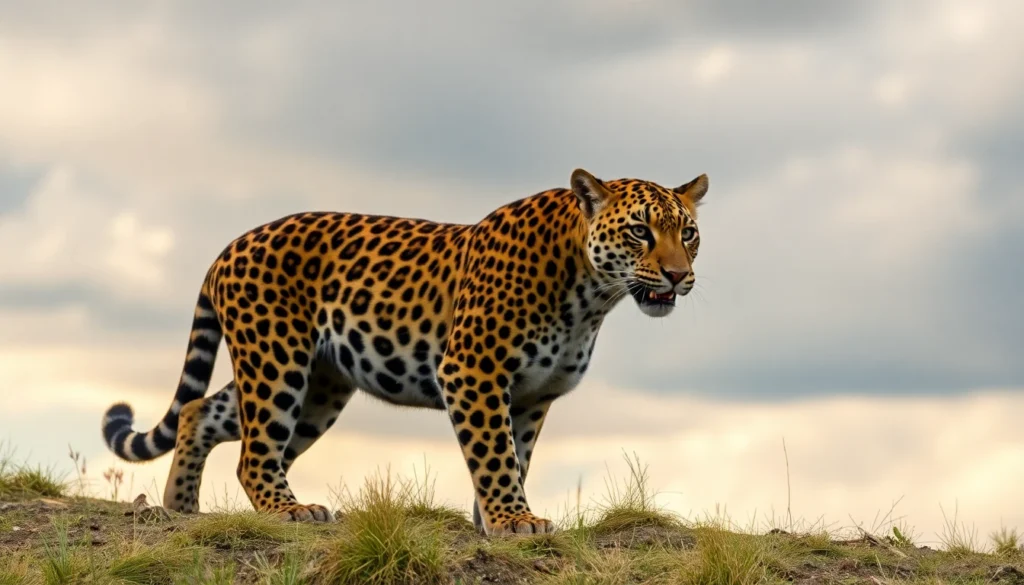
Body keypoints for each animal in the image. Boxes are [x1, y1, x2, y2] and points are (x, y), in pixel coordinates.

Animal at [100, 168, 709, 535]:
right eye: (639, 231)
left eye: (689, 233)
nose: (679, 276)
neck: (591, 296)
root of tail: (230, 244)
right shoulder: (473, 371)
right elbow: (495, 455)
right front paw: (514, 521)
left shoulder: (534, 394)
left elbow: (516, 455)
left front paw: (491, 522)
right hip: (276, 358)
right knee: (253, 454)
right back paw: (292, 510)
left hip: (318, 383)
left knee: (200, 412)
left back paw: (182, 508)